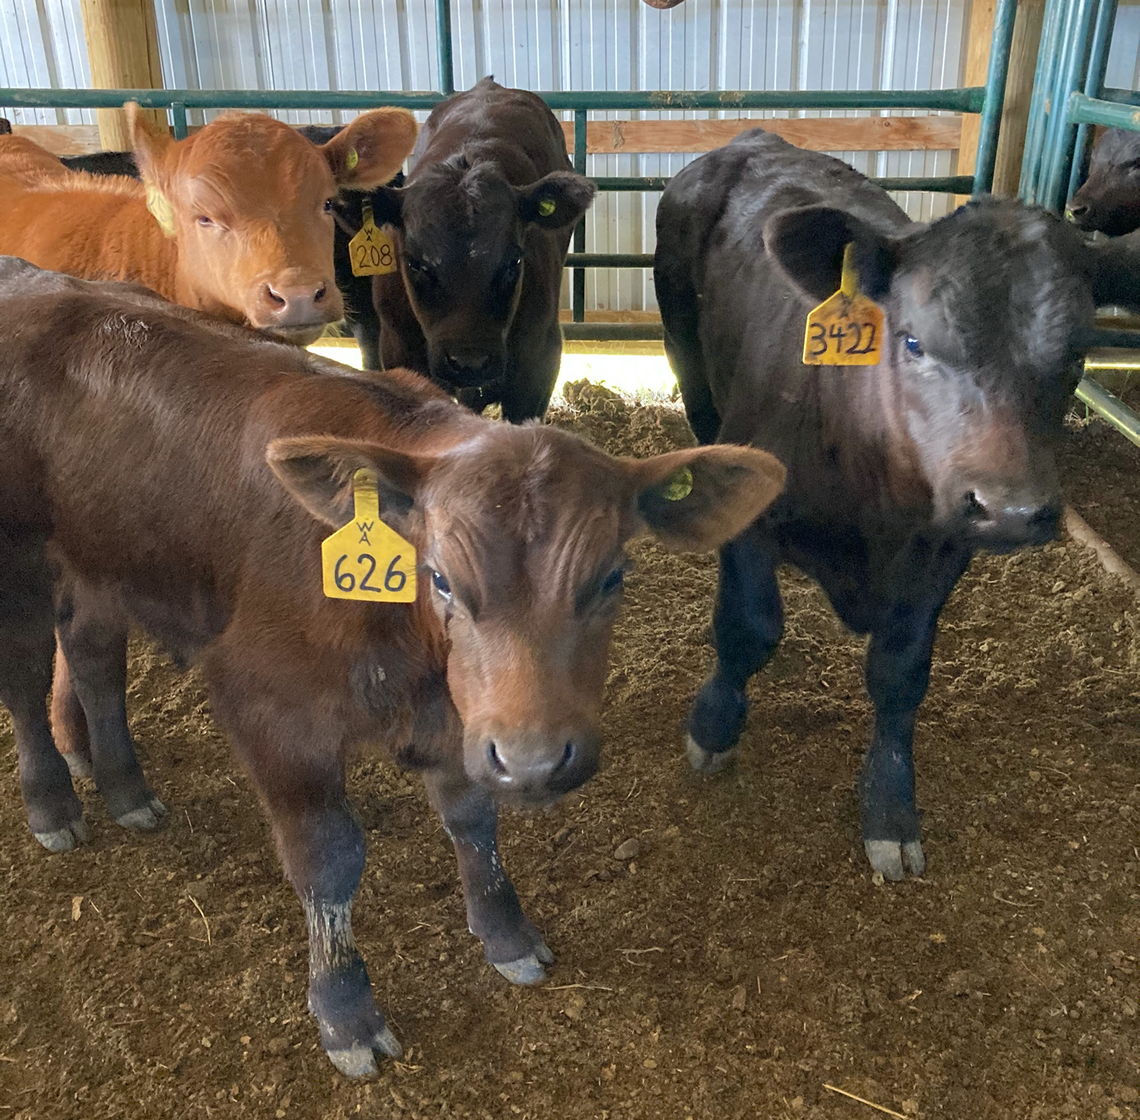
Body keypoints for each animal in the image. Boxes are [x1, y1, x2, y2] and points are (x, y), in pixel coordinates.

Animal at [0, 257, 786, 1075]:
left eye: (610, 578)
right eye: (440, 577)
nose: (536, 761)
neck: (409, 656)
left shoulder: (461, 720)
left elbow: (473, 820)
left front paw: (506, 934)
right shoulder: (269, 708)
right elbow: (328, 859)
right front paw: (345, 1011)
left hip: (99, 558)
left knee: (93, 655)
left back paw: (126, 790)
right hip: (18, 559)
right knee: (24, 677)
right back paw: (53, 805)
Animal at [654, 131, 1140, 882]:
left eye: (1076, 357)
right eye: (912, 341)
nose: (1011, 509)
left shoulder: (942, 548)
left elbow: (900, 673)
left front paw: (889, 806)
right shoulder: (754, 513)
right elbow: (749, 627)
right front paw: (714, 725)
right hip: (688, 361)